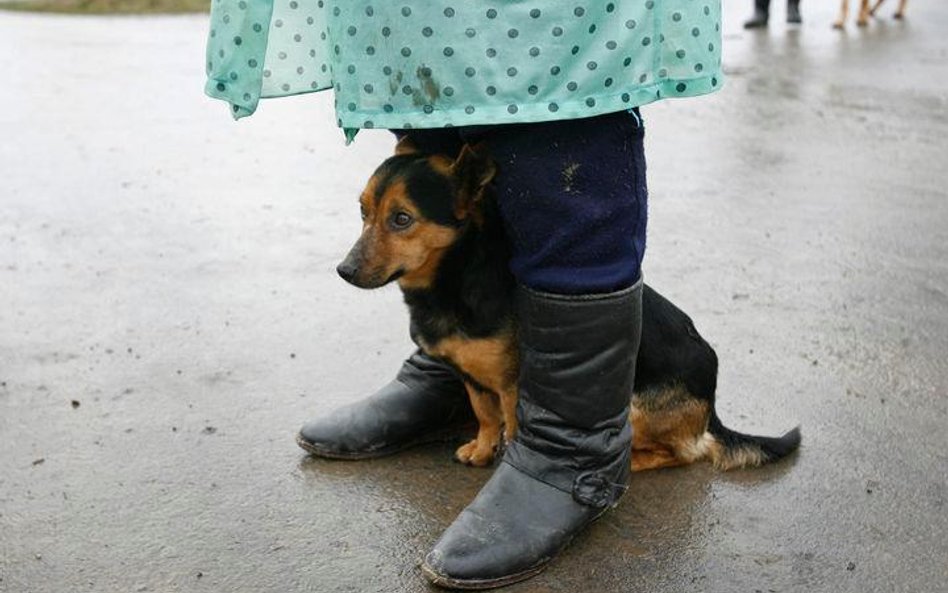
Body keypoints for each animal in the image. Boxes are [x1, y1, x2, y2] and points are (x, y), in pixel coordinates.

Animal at [336, 139, 804, 472]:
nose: (344, 270)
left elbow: (513, 427)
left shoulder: (513, 387)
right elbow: (484, 415)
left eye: (402, 219)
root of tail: (713, 404)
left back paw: (630, 464)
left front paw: (503, 464)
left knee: (685, 453)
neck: (457, 275)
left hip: (635, 407)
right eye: (362, 212)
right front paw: (483, 450)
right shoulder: (473, 377)